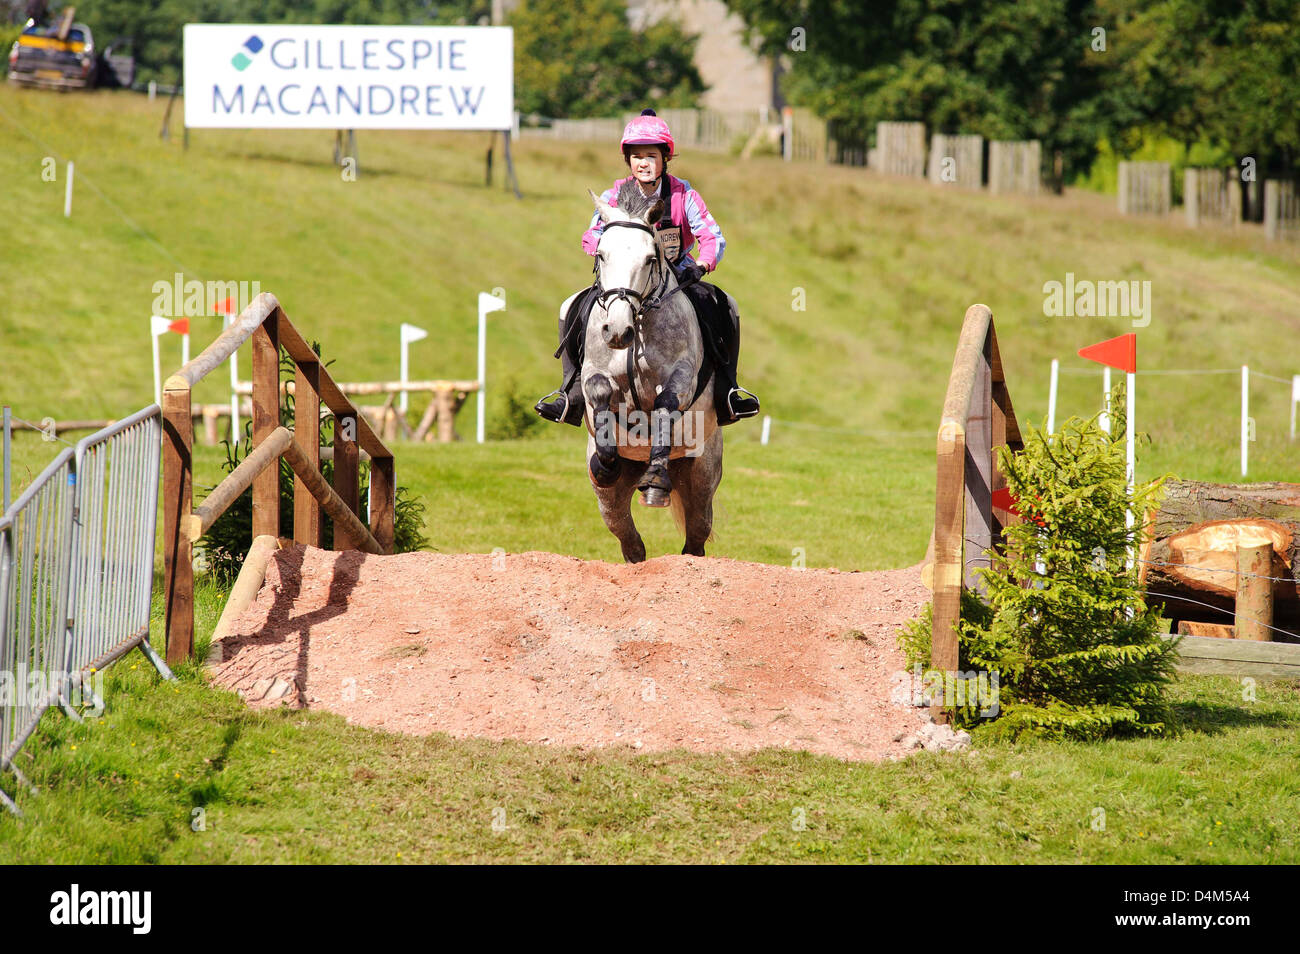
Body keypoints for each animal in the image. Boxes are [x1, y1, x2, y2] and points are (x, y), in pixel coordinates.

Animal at [561, 184, 738, 566]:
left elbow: (664, 404)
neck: (638, 322)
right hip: (609, 502)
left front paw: (655, 478)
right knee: (630, 542)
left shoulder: (682, 376)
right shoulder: (593, 373)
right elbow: (599, 392)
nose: (617, 331)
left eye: (649, 259)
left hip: (701, 476)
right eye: (601, 255)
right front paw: (605, 461)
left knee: (696, 536)